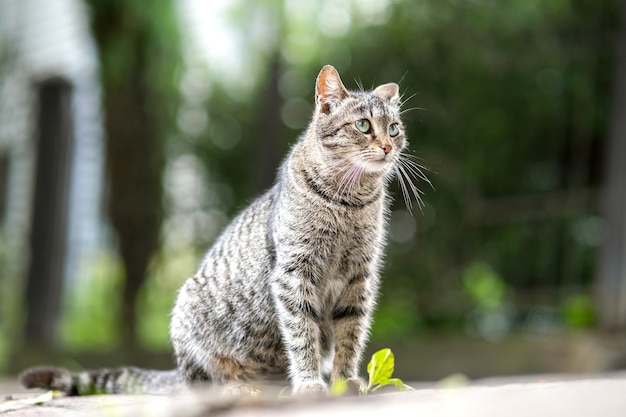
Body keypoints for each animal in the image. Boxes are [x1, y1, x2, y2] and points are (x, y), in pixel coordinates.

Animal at [19, 65, 422, 396]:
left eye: (394, 128)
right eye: (363, 125)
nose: (388, 146)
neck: (348, 203)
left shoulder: (359, 278)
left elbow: (350, 335)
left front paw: (343, 380)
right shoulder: (294, 274)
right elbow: (302, 334)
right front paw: (310, 382)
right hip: (188, 316)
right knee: (202, 382)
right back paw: (238, 388)